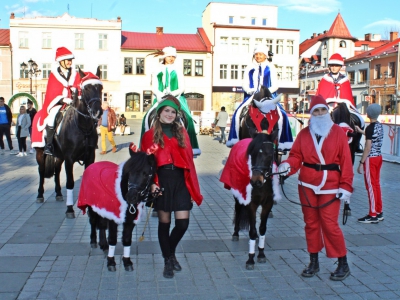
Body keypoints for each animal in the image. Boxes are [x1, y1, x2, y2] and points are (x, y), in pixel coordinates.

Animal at [35, 68, 103, 218]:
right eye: (86, 88)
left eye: (100, 88)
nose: (98, 112)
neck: (82, 127)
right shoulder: (69, 158)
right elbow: (70, 182)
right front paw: (70, 209)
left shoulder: (90, 156)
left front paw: (90, 210)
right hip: (40, 152)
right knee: (41, 171)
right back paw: (40, 195)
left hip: (59, 156)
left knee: (56, 170)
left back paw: (59, 193)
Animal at [222, 119, 282, 270]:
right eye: (252, 153)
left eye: (270, 154)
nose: (255, 181)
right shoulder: (251, 203)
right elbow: (253, 231)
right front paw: (250, 258)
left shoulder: (268, 203)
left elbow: (262, 229)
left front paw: (261, 254)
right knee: (238, 210)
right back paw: (236, 233)